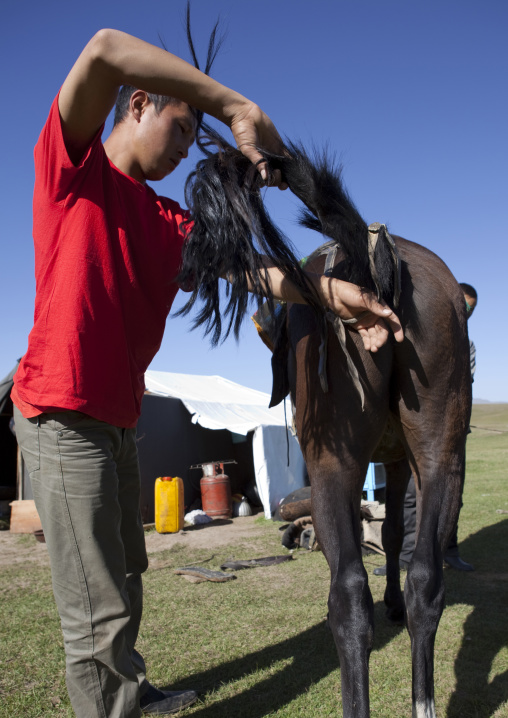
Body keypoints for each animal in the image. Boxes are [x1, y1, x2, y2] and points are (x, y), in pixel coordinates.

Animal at [178, 138, 472, 718]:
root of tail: (369, 260)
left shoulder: (381, 463)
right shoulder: (402, 461)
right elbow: (396, 534)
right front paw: (396, 601)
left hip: (332, 464)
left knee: (348, 596)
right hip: (440, 455)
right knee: (427, 580)